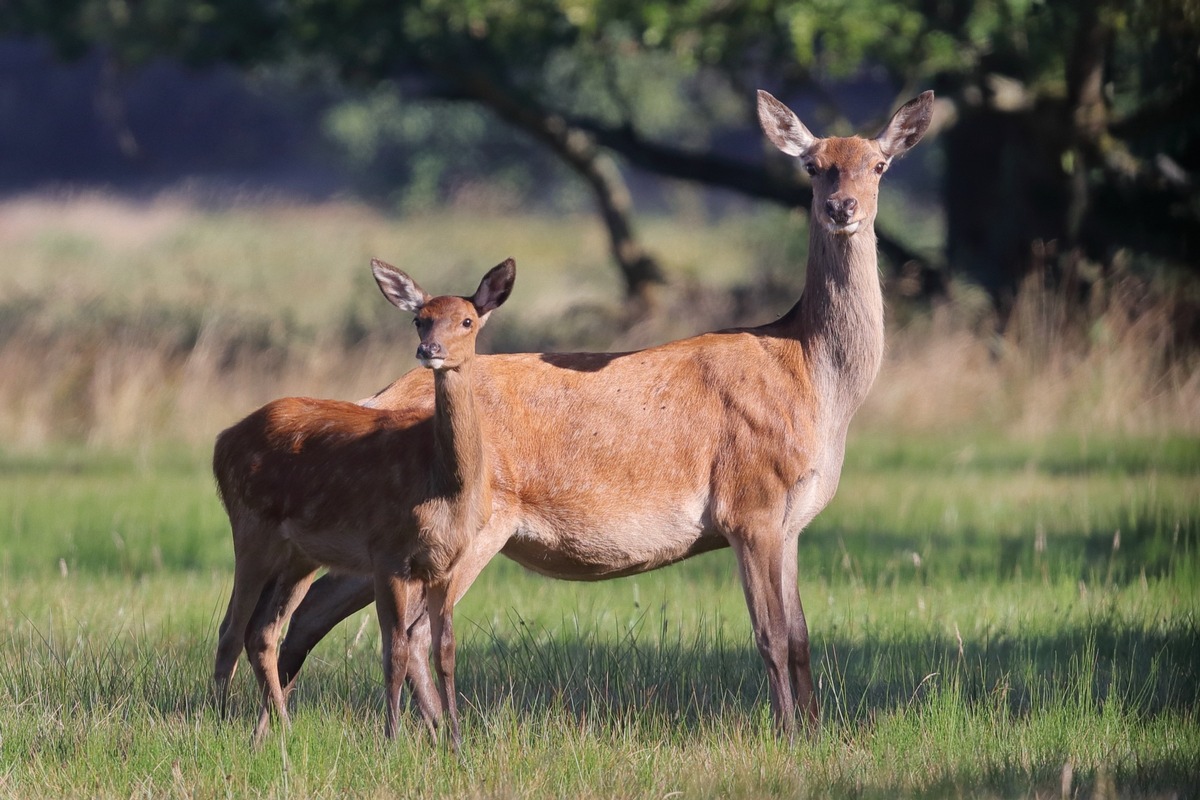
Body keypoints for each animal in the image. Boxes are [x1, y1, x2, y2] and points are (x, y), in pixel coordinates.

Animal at [213, 257, 513, 743]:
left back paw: (278, 729)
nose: (429, 349)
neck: (443, 485)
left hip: (298, 555)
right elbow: (394, 650)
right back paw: (220, 721)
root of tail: (221, 441)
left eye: (467, 321)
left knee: (262, 631)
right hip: (250, 527)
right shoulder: (387, 551)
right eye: (419, 319)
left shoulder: (446, 562)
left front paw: (455, 741)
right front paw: (392, 739)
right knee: (231, 629)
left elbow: (445, 651)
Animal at [243, 89, 931, 743]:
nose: (843, 208)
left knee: (311, 614)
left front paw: (816, 732)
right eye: (813, 167)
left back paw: (274, 730)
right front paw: (787, 735)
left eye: (879, 164)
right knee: (391, 629)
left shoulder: (790, 522)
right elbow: (770, 636)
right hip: (467, 526)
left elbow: (802, 636)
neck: (813, 380)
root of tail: (375, 398)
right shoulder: (750, 502)